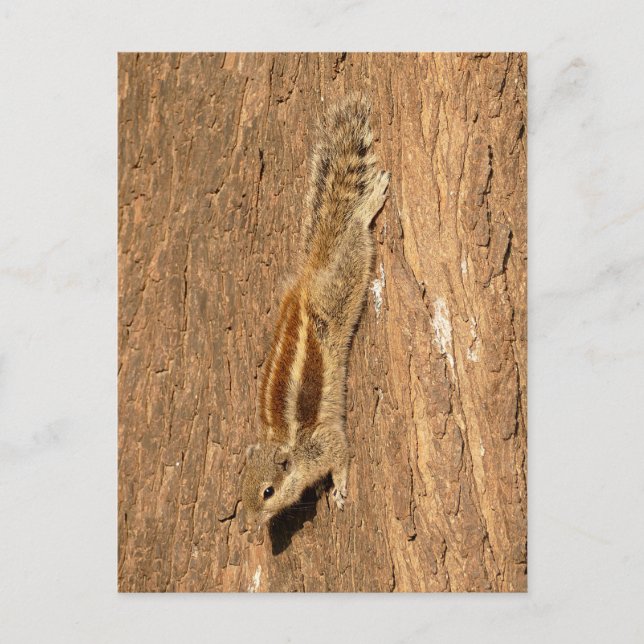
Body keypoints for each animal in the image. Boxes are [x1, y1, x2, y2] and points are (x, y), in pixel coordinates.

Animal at [241, 95, 390, 538]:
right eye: (240, 491)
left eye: (268, 491)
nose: (248, 526)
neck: (285, 444)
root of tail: (311, 273)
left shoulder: (325, 442)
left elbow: (342, 456)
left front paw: (339, 490)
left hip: (344, 282)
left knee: (354, 234)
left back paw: (368, 204)